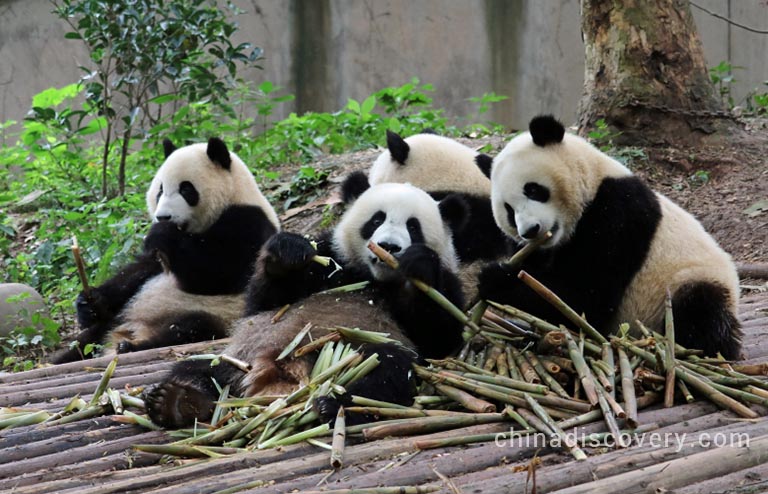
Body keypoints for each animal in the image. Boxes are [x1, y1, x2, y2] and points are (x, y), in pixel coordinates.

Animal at [53, 138, 282, 362]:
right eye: (160, 190)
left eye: (186, 190)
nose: (163, 217)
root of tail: (132, 330)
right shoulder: (158, 260)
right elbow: (141, 270)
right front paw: (90, 303)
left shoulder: (249, 223)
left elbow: (219, 272)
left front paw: (162, 233)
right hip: (116, 320)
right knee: (85, 342)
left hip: (217, 314)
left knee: (189, 328)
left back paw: (132, 347)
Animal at [144, 179, 468, 426]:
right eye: (376, 219)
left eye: (413, 227)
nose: (388, 246)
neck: (370, 278)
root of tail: (282, 376)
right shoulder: (330, 257)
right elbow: (263, 306)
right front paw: (286, 254)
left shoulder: (448, 282)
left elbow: (439, 337)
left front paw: (417, 265)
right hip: (238, 359)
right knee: (197, 371)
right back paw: (177, 401)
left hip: (360, 355)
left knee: (387, 373)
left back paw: (335, 405)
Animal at [476, 116, 740, 358]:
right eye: (509, 210)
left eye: (532, 189)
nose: (530, 230)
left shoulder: (621, 212)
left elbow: (585, 294)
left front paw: (496, 278)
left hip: (687, 281)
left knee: (701, 310)